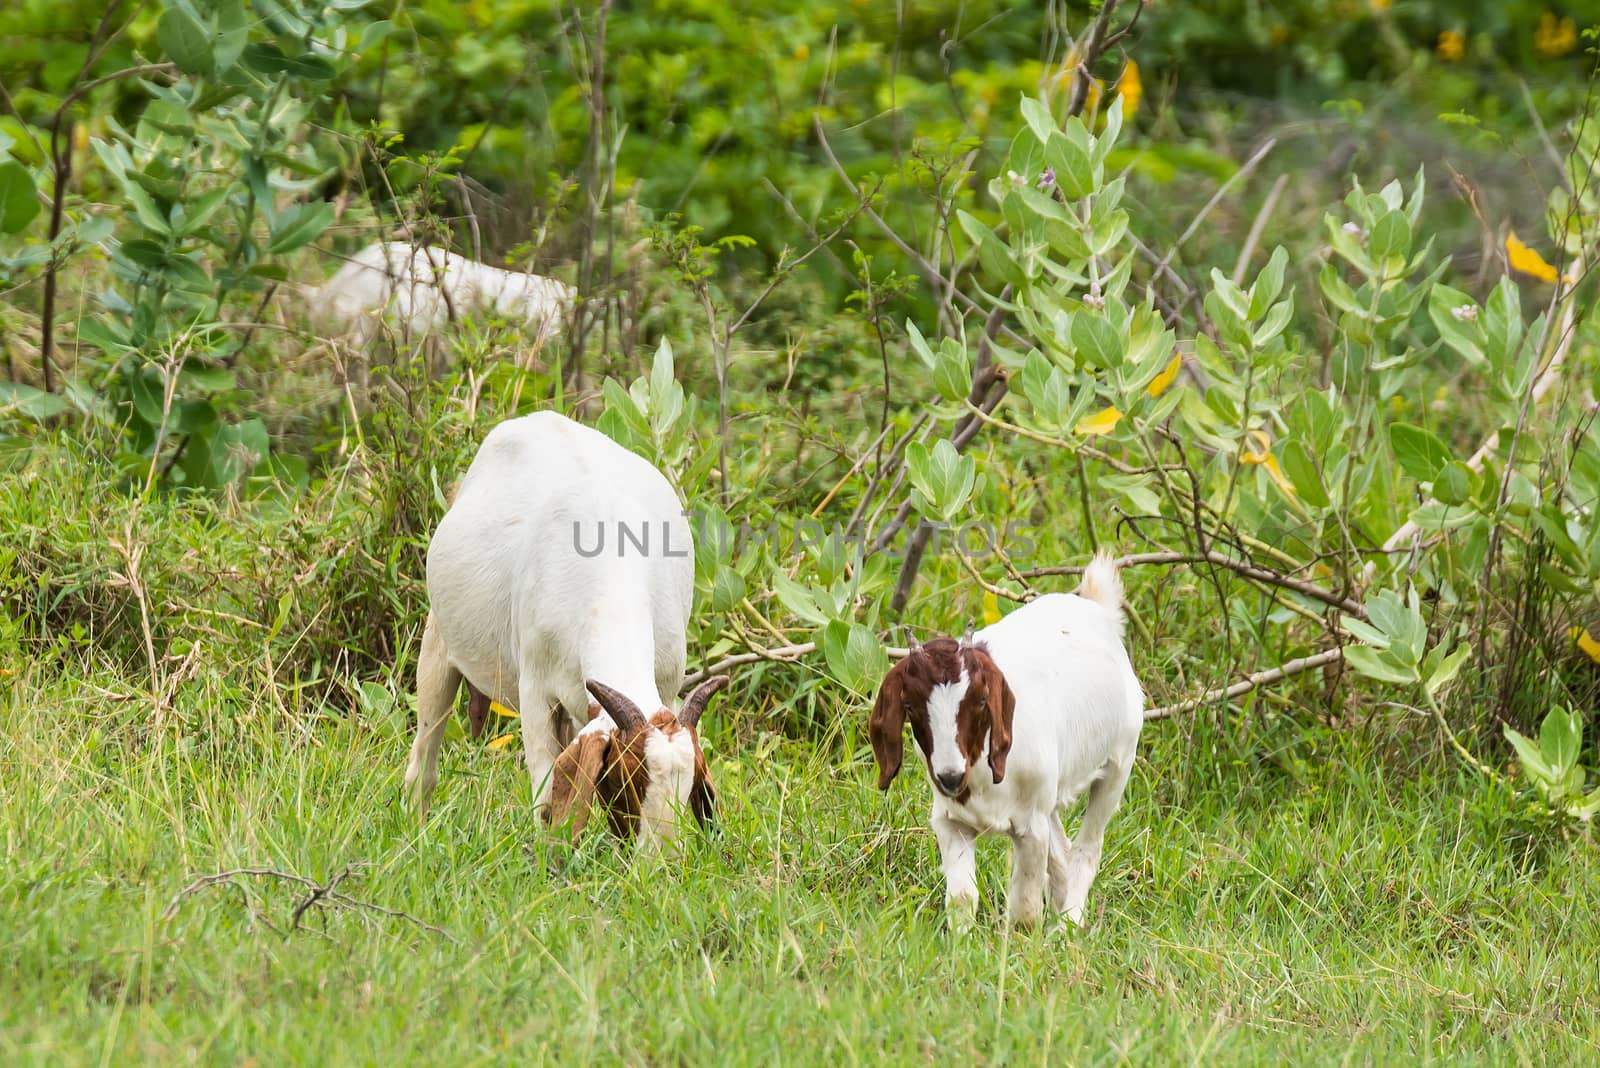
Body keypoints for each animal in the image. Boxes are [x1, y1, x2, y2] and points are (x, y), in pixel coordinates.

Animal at [870, 556, 1145, 927]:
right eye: (909, 706)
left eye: (980, 701)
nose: (951, 777)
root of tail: (1097, 607)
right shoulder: (950, 820)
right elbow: (962, 897)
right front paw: (962, 938)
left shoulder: (1031, 827)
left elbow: (1025, 910)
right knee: (1062, 853)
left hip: (1120, 761)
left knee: (1087, 850)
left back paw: (1068, 924)